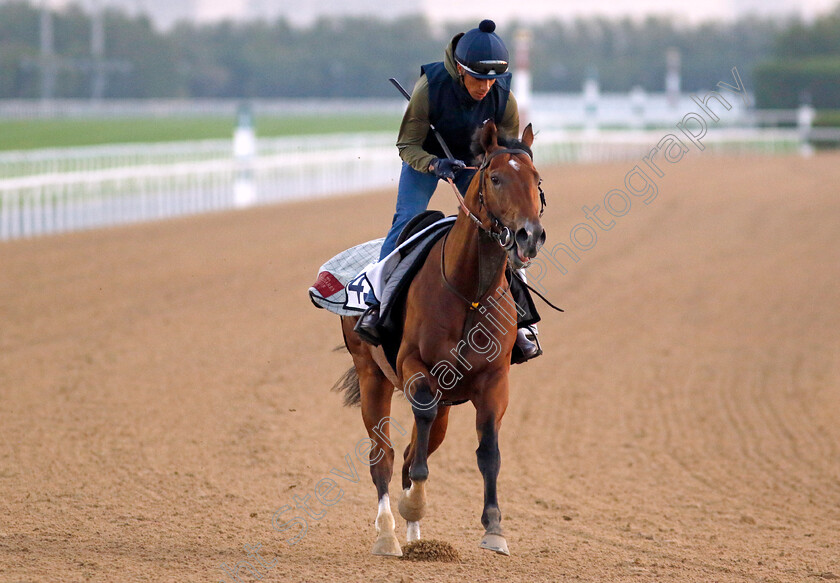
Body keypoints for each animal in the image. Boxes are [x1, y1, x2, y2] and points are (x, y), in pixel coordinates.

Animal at [334, 120, 544, 556]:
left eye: (537, 179)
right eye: (495, 178)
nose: (529, 235)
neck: (470, 293)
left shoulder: (494, 380)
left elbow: (489, 450)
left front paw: (494, 529)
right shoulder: (414, 366)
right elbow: (419, 425)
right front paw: (413, 503)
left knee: (412, 449)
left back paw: (416, 537)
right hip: (371, 375)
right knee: (384, 456)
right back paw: (388, 534)